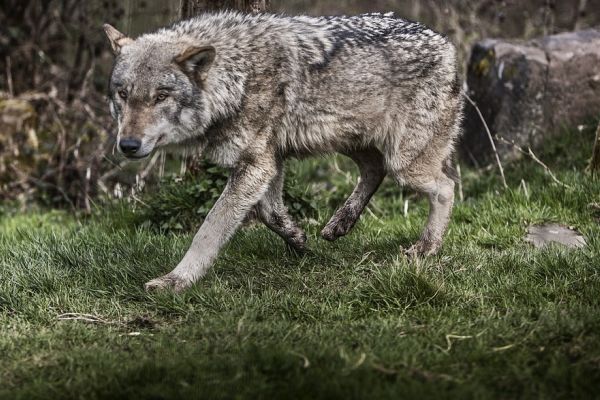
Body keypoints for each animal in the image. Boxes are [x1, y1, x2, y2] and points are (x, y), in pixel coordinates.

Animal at [103, 10, 464, 292]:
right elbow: (270, 213)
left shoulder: (256, 165)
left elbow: (208, 230)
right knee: (375, 169)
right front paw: (298, 239)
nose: (128, 145)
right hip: (348, 141)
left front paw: (176, 280)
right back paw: (340, 224)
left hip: (404, 163)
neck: (238, 75)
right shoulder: (269, 161)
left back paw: (425, 248)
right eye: (123, 95)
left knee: (446, 187)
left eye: (161, 96)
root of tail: (447, 44)